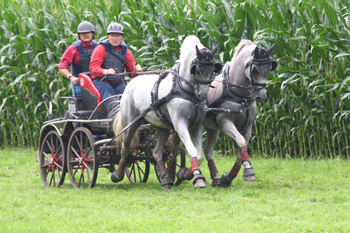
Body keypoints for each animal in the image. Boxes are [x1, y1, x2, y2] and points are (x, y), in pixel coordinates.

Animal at [113, 36, 220, 189]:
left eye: (213, 69)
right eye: (196, 69)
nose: (203, 94)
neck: (184, 89)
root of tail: (131, 82)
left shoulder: (196, 125)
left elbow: (198, 155)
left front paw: (185, 173)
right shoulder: (180, 124)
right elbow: (192, 150)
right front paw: (197, 177)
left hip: (161, 127)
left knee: (157, 152)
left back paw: (165, 178)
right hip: (130, 124)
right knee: (125, 147)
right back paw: (118, 174)